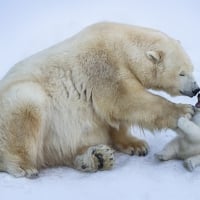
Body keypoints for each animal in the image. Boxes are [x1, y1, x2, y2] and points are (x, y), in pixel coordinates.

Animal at [0, 22, 198, 178]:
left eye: (192, 68)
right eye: (181, 73)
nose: (196, 89)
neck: (121, 45)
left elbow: (114, 118)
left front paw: (136, 145)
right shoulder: (102, 66)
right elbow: (125, 100)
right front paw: (185, 111)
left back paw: (98, 158)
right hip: (18, 102)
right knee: (27, 108)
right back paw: (23, 166)